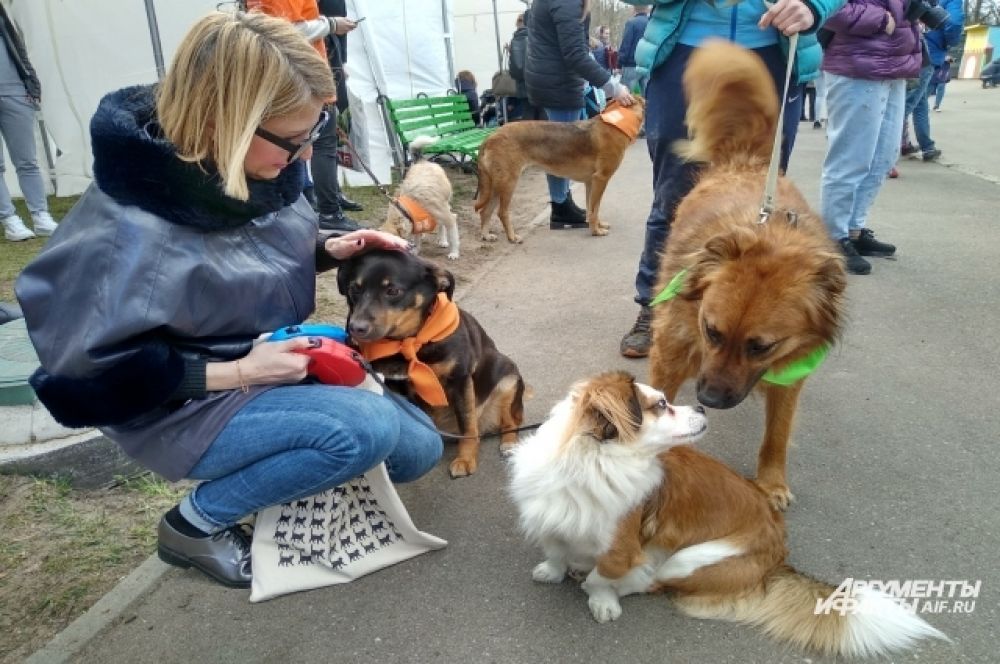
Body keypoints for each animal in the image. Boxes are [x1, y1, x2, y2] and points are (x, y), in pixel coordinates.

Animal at [338, 249, 528, 478]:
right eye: (353, 289)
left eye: (392, 290)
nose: (356, 328)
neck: (410, 342)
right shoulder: (395, 386)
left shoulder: (460, 380)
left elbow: (468, 426)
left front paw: (465, 460)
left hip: (507, 381)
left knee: (510, 422)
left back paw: (509, 444)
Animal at [472, 97, 644, 243]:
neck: (618, 120)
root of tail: (491, 136)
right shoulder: (601, 179)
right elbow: (595, 209)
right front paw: (596, 231)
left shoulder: (591, 182)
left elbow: (592, 209)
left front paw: (597, 225)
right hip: (508, 183)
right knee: (501, 212)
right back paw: (512, 237)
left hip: (496, 186)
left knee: (485, 211)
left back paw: (486, 235)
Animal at [508, 374, 944, 660]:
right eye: (661, 405)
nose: (701, 405)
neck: (591, 463)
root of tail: (779, 555)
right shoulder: (549, 519)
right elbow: (556, 550)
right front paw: (553, 570)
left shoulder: (622, 547)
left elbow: (603, 576)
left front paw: (601, 598)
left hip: (687, 560)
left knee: (655, 581)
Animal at [644, 40, 848, 508]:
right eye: (711, 331)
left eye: (761, 347)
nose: (708, 398)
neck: (767, 235)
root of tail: (749, 162)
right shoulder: (673, 352)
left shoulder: (790, 372)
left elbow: (778, 433)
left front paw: (770, 482)